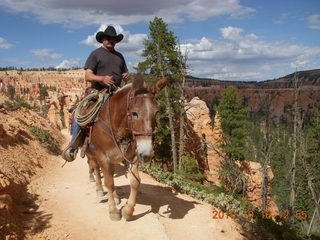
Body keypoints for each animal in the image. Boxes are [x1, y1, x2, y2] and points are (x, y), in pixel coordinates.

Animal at [85, 74, 170, 220]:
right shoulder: (103, 157)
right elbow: (109, 182)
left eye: (157, 112)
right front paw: (113, 210)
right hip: (92, 153)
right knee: (95, 168)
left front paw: (128, 210)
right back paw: (99, 189)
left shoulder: (132, 156)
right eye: (134, 113)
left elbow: (135, 182)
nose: (147, 154)